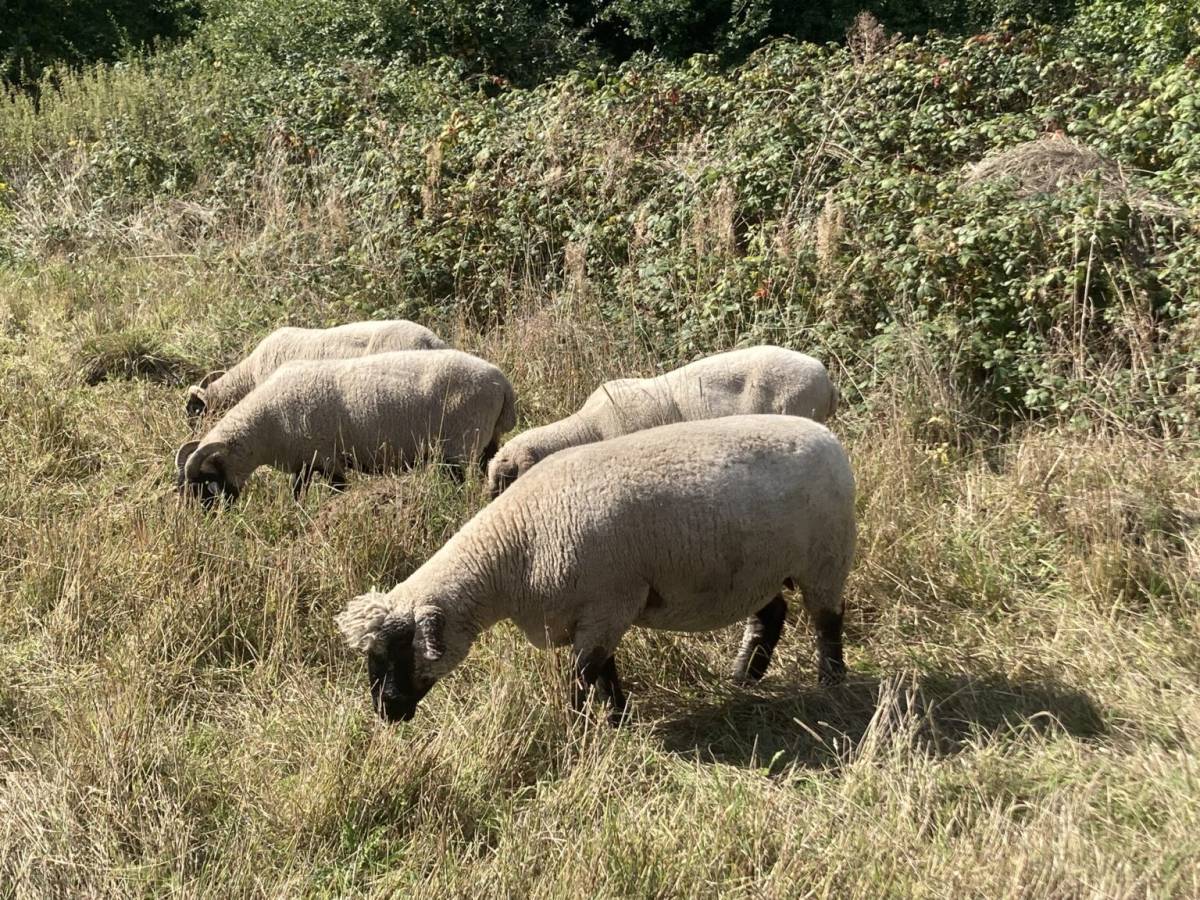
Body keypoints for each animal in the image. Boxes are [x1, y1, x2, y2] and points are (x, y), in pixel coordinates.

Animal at [175, 349, 516, 507]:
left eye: (203, 484)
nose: (203, 522)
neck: (264, 428)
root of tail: (501, 382)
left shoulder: (327, 460)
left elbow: (334, 490)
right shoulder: (305, 463)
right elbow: (297, 493)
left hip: (458, 445)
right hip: (487, 441)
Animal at [337, 414, 855, 724]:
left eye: (397, 652)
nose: (384, 713)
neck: (516, 550)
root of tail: (826, 435)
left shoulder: (608, 603)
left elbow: (581, 676)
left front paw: (575, 727)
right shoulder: (598, 613)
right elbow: (605, 671)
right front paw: (619, 720)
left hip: (826, 557)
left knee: (827, 621)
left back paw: (830, 683)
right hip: (760, 567)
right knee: (771, 614)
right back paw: (743, 676)